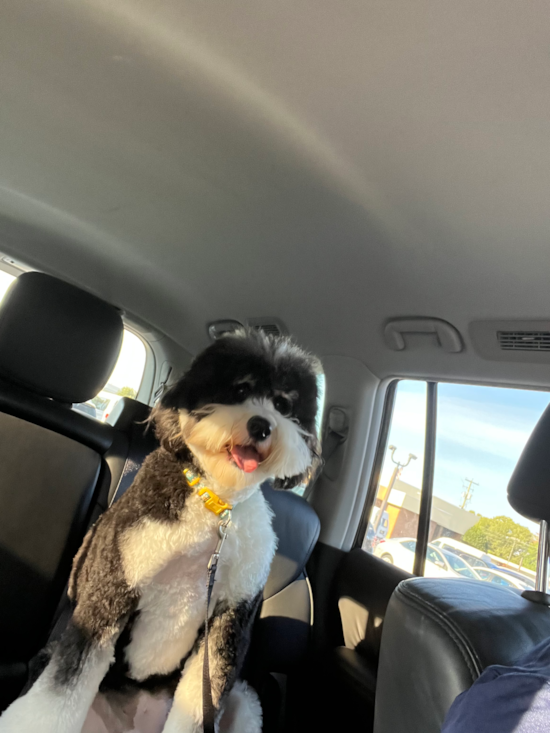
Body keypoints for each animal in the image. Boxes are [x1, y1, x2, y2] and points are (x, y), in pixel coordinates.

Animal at [0, 330, 324, 732]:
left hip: (245, 700)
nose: (261, 426)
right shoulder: (114, 583)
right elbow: (59, 691)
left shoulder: (229, 614)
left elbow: (202, 694)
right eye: (239, 389)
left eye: (282, 402)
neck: (214, 504)